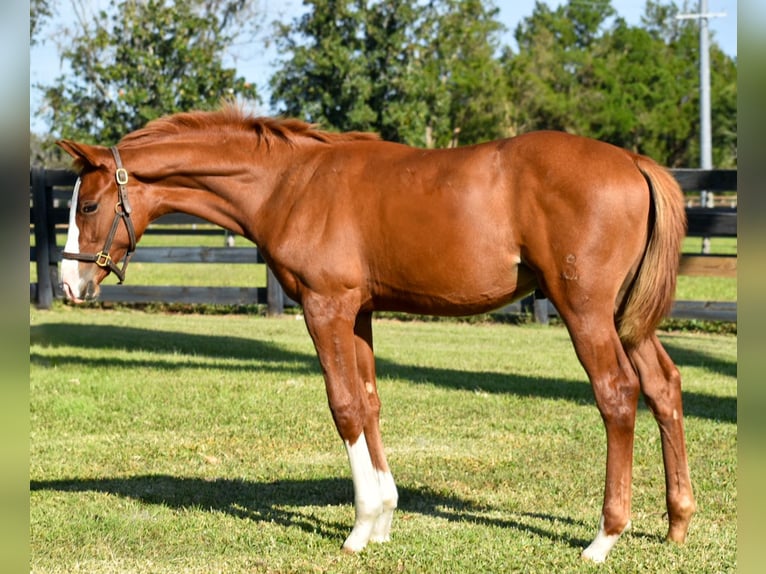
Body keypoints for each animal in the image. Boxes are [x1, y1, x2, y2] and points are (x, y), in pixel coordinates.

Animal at [58, 106, 696, 564]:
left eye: (87, 206)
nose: (70, 282)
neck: (292, 183)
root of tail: (634, 161)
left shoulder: (326, 307)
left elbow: (343, 406)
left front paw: (360, 528)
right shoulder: (359, 312)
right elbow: (369, 402)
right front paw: (385, 517)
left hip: (585, 311)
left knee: (617, 394)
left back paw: (604, 538)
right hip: (625, 317)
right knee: (664, 386)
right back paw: (677, 522)